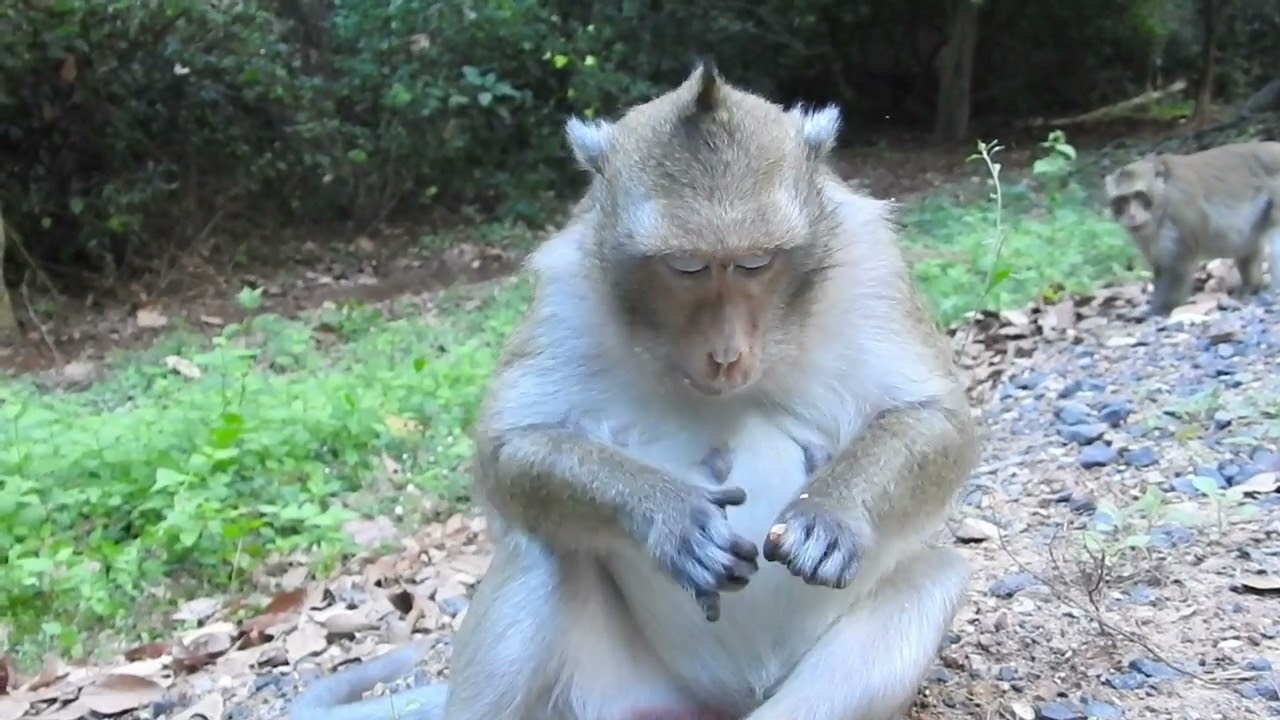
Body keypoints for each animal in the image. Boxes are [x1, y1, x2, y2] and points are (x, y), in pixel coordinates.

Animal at [290, 58, 979, 720]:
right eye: (686, 268)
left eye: (756, 263)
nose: (726, 354)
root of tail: (717, 702)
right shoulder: (569, 289)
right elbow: (509, 446)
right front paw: (669, 517)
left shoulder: (870, 265)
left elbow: (937, 418)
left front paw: (830, 514)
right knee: (539, 550)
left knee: (934, 579)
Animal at [1104, 140, 1280, 316]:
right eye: (1121, 201)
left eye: (1139, 196)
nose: (1132, 215)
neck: (1163, 197)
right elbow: (1161, 265)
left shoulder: (1180, 208)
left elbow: (1178, 266)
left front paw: (1159, 309)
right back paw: (1252, 286)